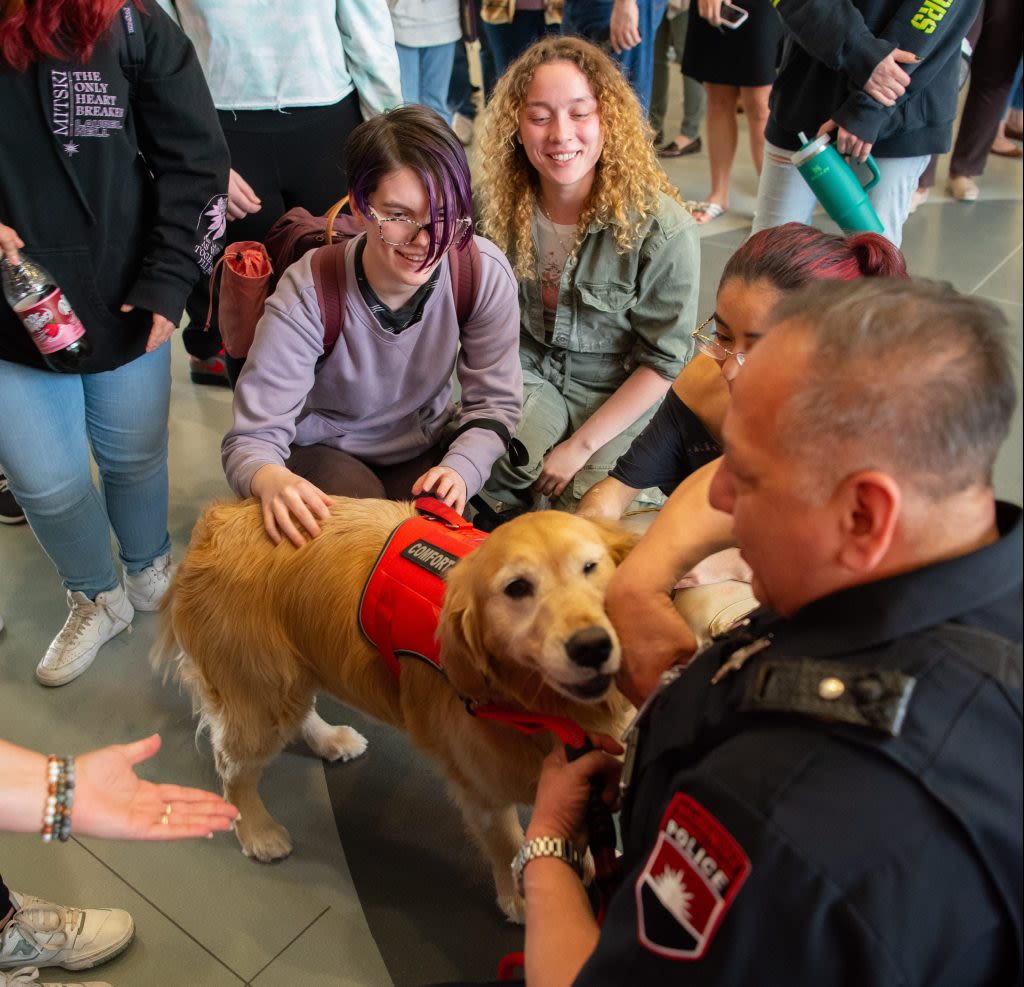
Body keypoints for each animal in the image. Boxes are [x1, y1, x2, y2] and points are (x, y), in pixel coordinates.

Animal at [153, 497, 630, 921]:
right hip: (261, 695)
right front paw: (523, 899)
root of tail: (215, 522)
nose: (591, 646)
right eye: (517, 589)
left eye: (591, 567)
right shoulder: (481, 789)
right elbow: (508, 844)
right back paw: (258, 832)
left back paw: (330, 740)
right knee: (233, 770)